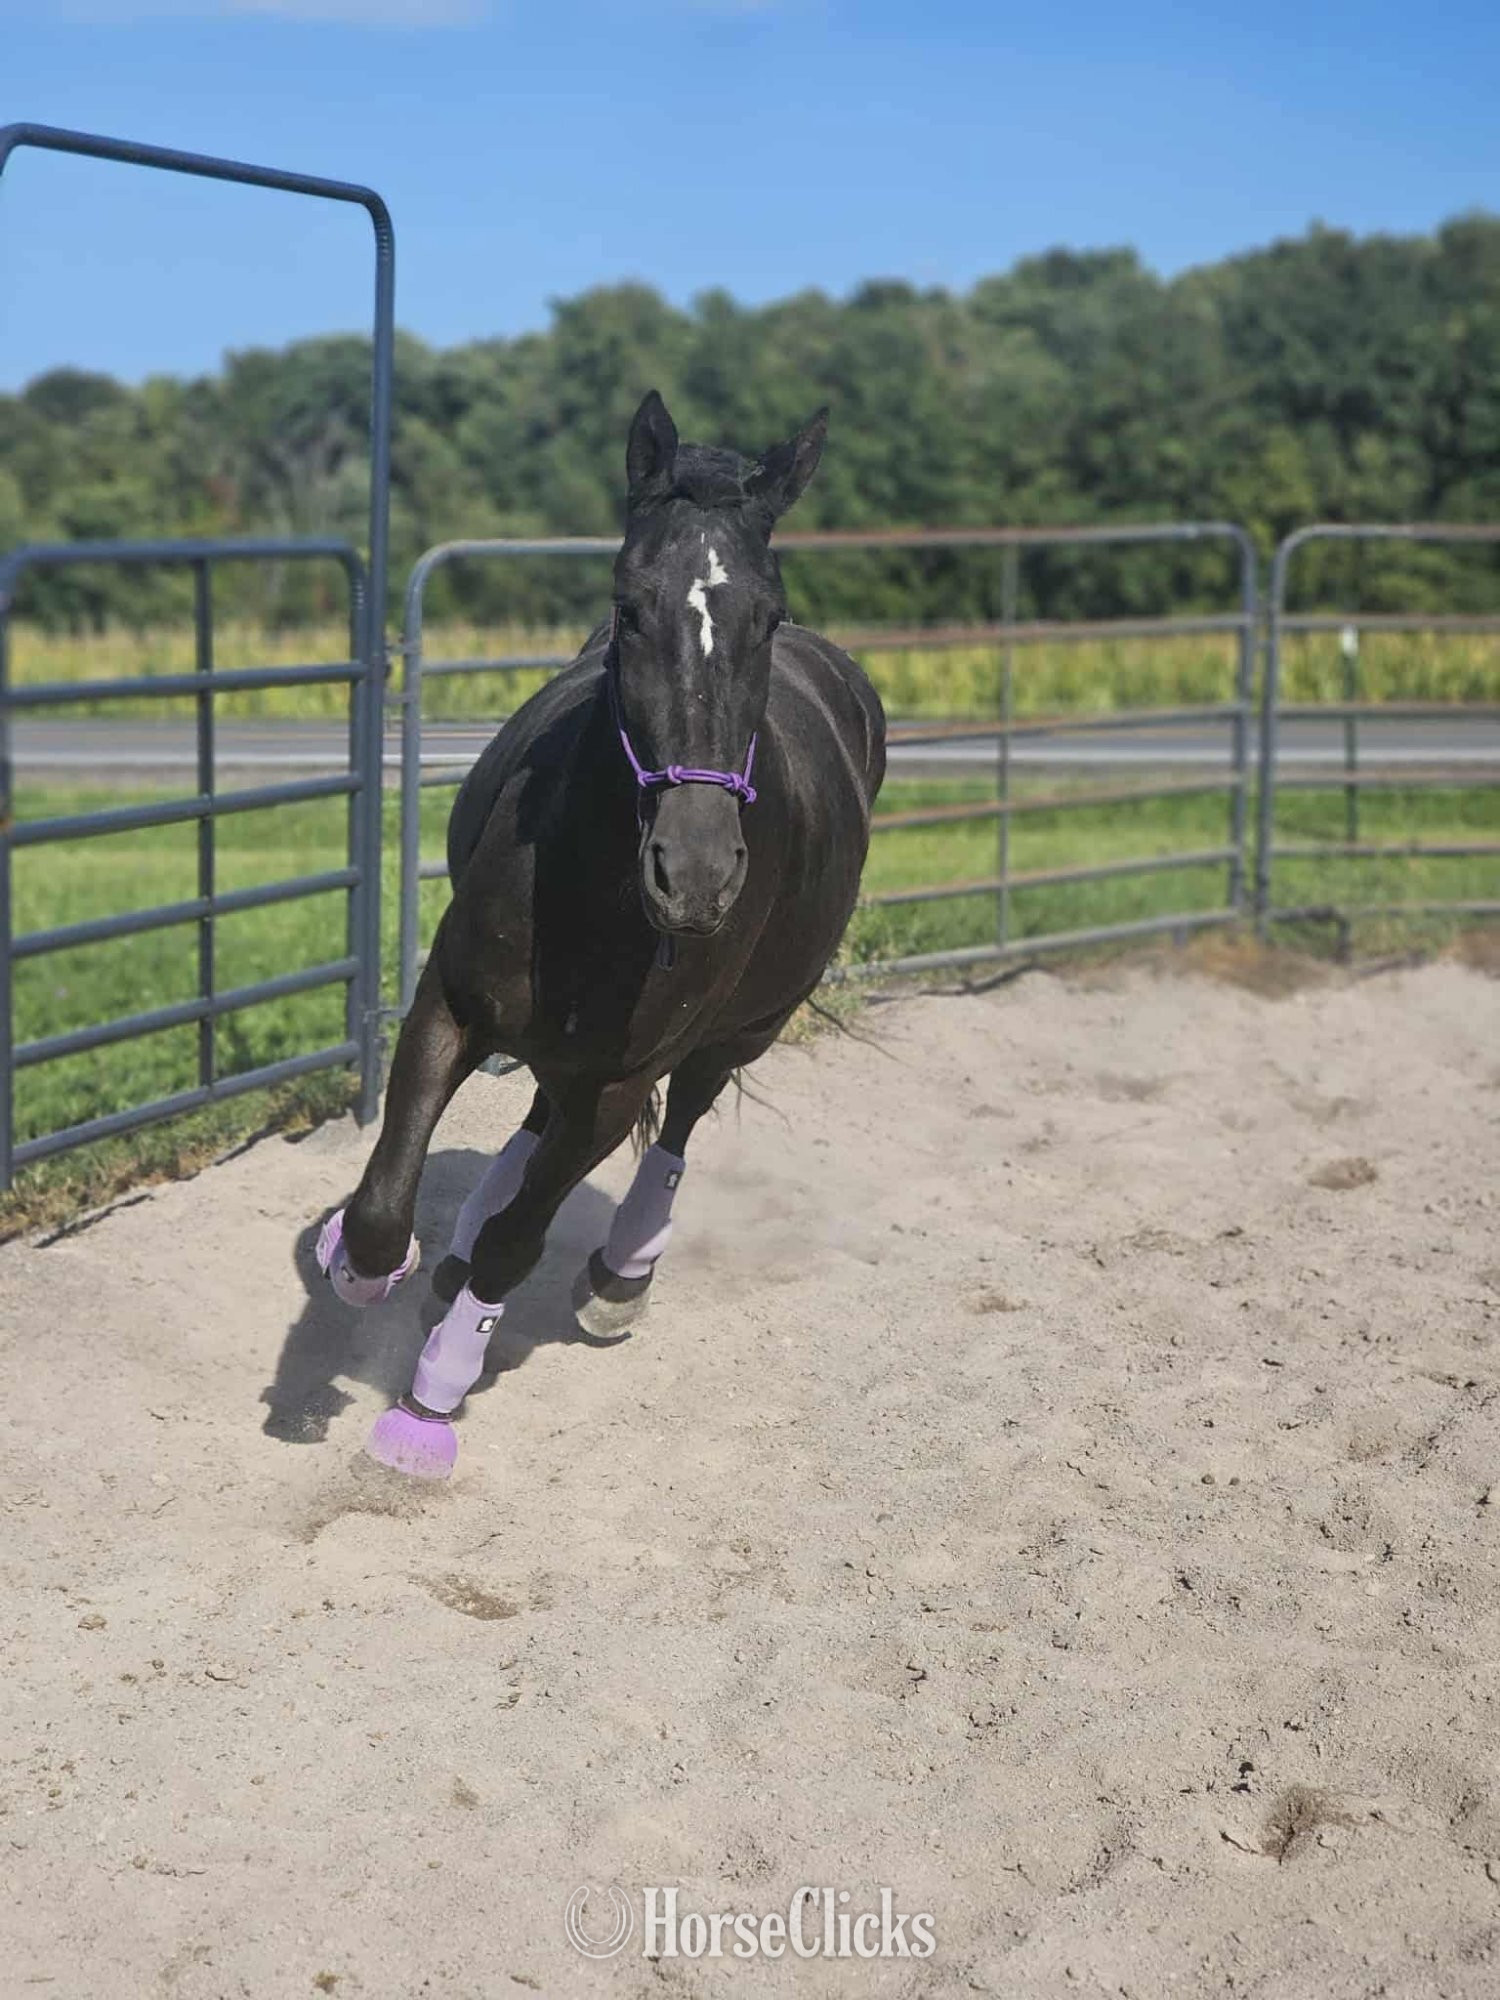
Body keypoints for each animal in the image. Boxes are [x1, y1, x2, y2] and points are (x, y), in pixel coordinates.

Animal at [315, 390, 886, 1478]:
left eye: (768, 614)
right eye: (629, 606)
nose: (695, 875)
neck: (592, 886)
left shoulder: (623, 1082)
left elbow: (521, 1241)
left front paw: (431, 1400)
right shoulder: (450, 1004)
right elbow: (381, 1204)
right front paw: (357, 1269)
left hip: (739, 1030)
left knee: (678, 1122)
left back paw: (621, 1274)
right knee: (539, 1112)